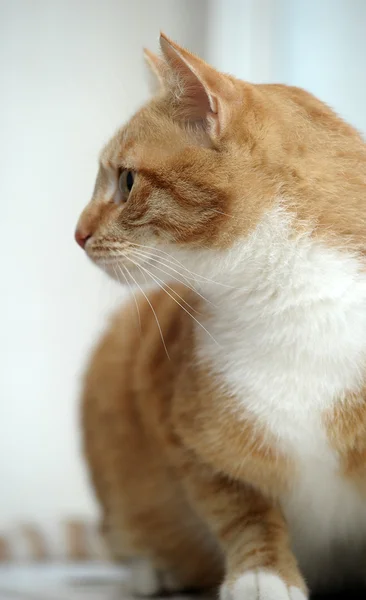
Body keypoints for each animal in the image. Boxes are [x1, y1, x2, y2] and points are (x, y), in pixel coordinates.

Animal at [74, 34, 366, 600]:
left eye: (126, 181)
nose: (76, 233)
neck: (292, 305)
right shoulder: (185, 436)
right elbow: (243, 510)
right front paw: (262, 574)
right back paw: (154, 570)